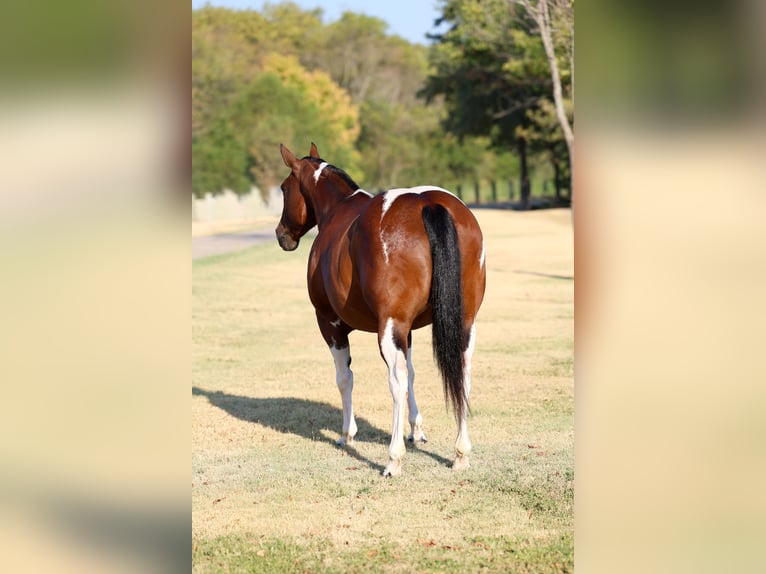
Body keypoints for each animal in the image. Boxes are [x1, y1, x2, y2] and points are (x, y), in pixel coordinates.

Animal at [275, 143, 486, 477]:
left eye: (284, 188)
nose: (281, 234)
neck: (337, 211)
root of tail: (427, 203)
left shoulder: (330, 324)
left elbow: (345, 377)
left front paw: (347, 434)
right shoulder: (408, 329)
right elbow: (413, 374)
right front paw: (416, 430)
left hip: (388, 329)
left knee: (395, 381)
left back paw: (393, 459)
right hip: (463, 324)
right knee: (461, 373)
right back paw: (460, 453)